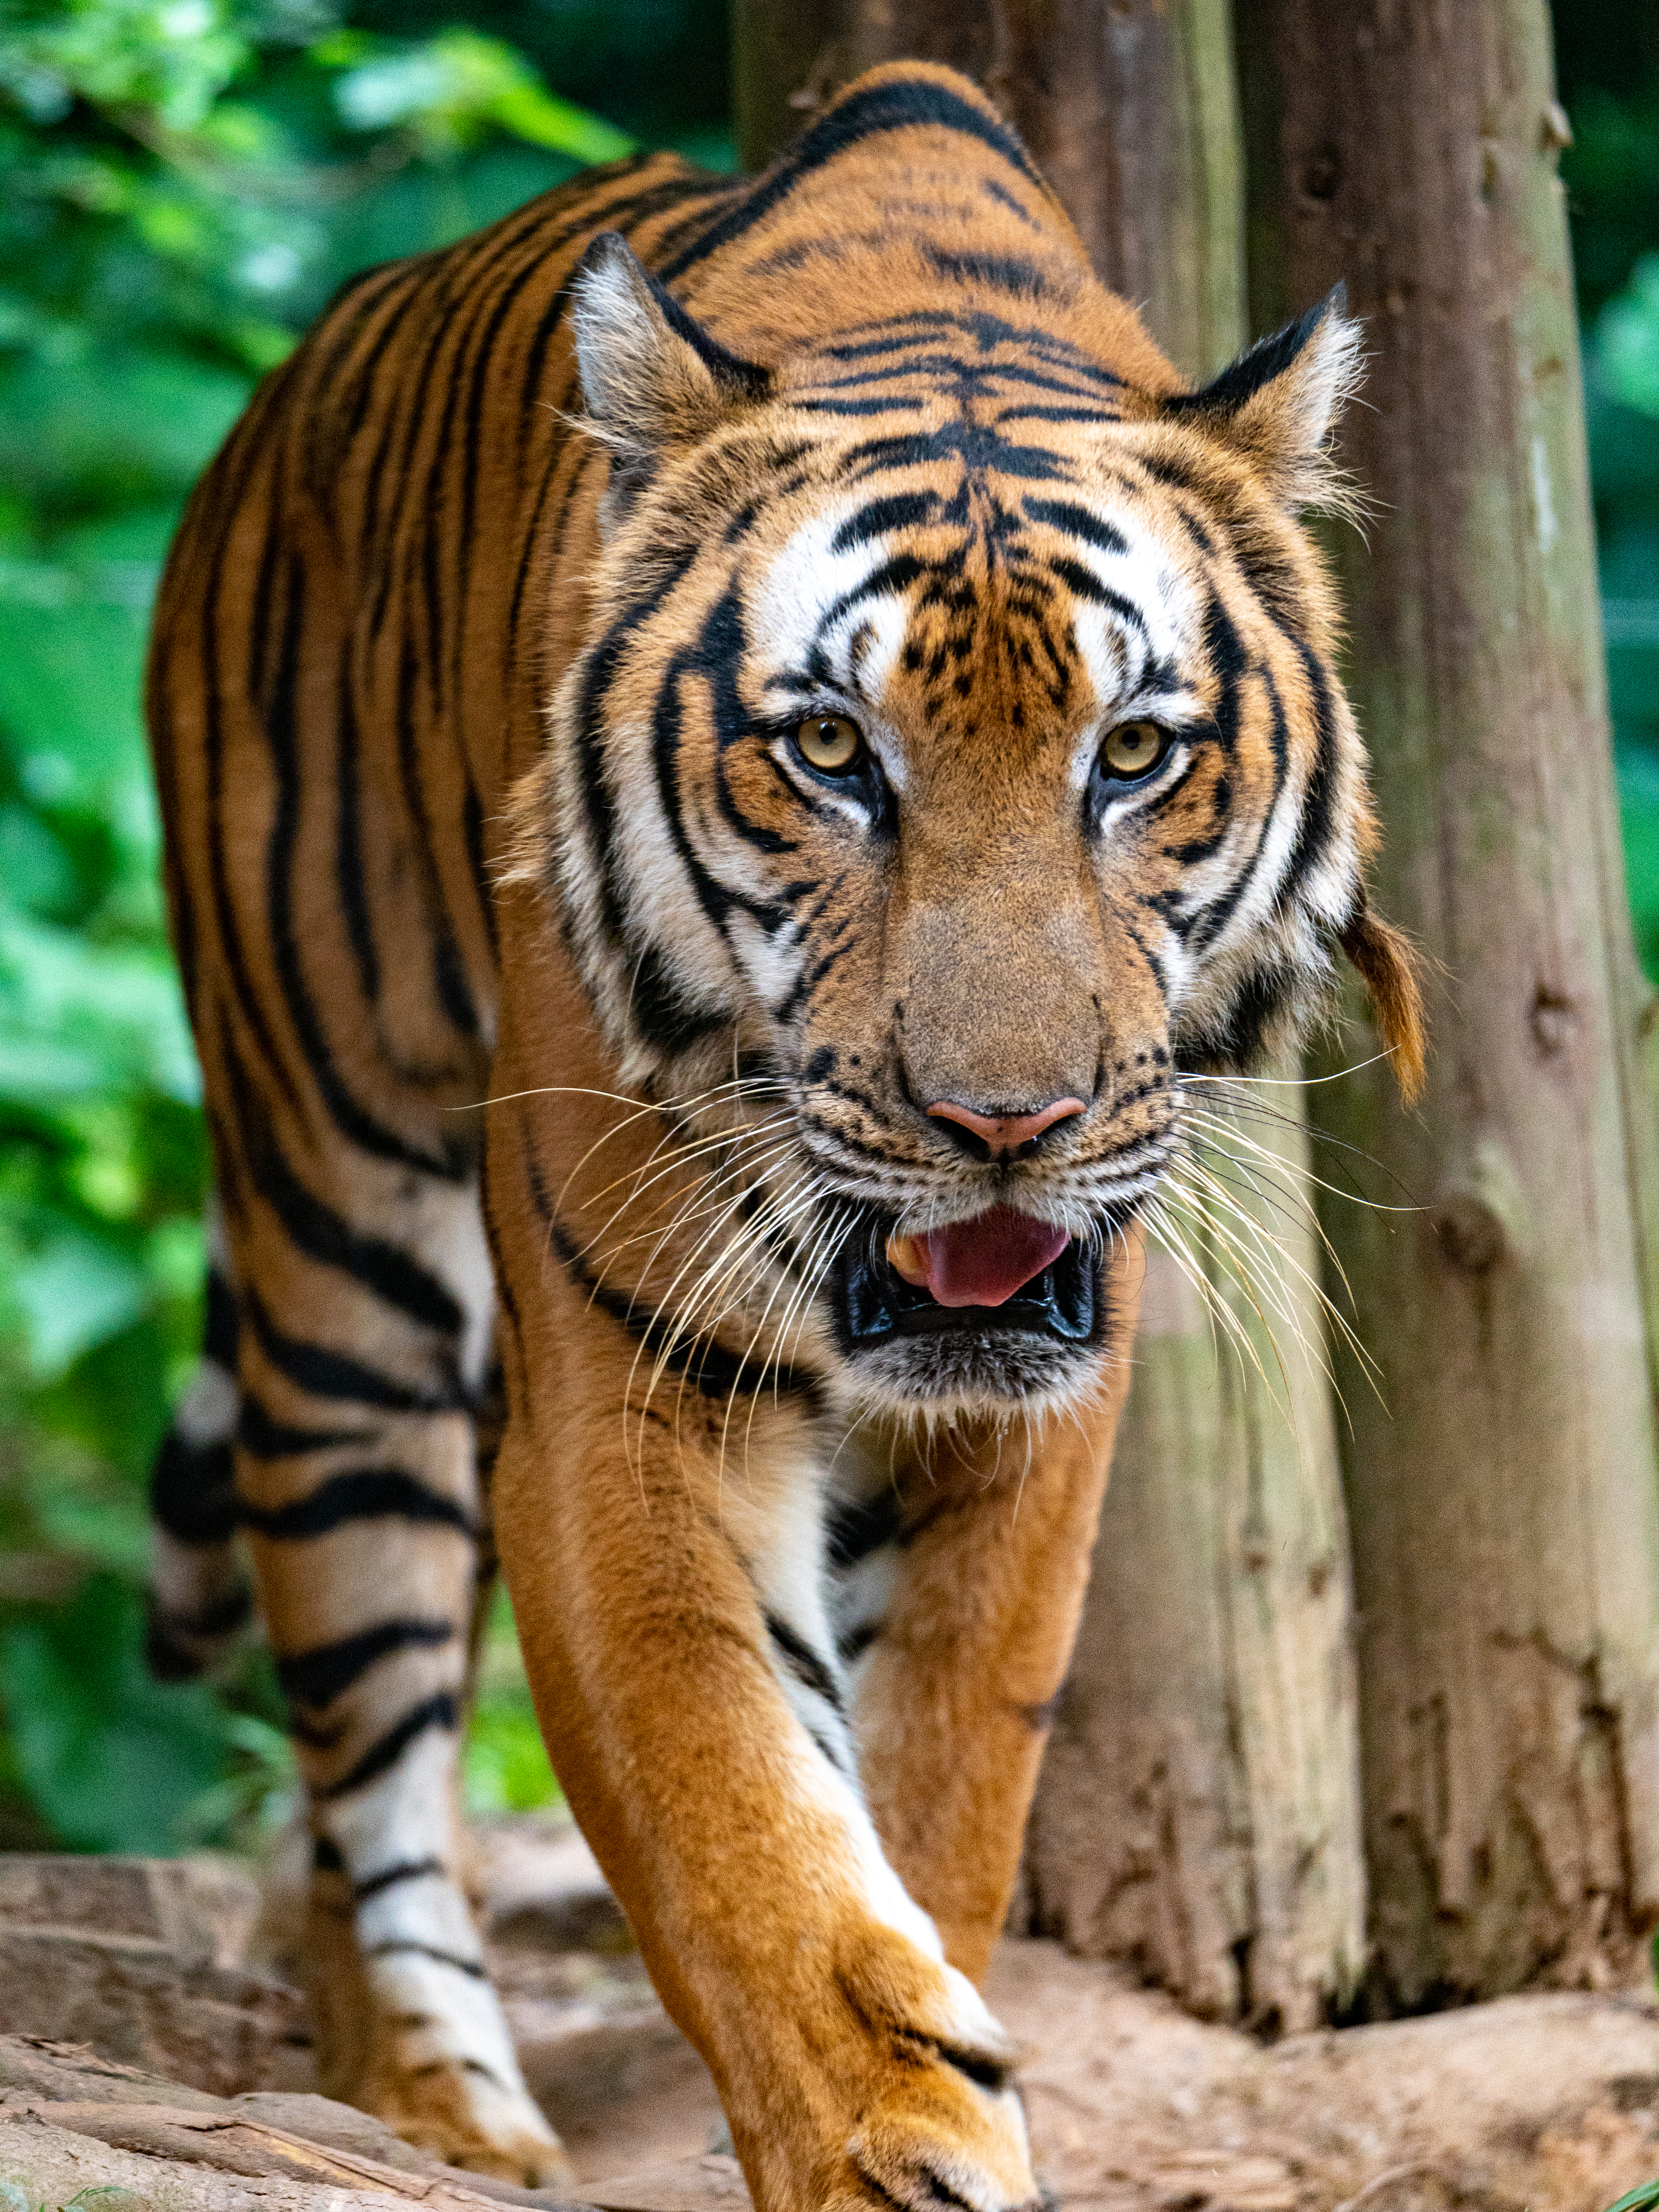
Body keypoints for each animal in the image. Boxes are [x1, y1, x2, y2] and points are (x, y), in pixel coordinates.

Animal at [144, 58, 1423, 2212]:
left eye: (1132, 755)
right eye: (830, 749)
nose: (1004, 1122)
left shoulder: (1035, 1427)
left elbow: (935, 1790)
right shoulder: (625, 1390)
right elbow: (740, 1814)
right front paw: (891, 2135)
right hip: (342, 1256)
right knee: (366, 1750)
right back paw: (440, 2106)